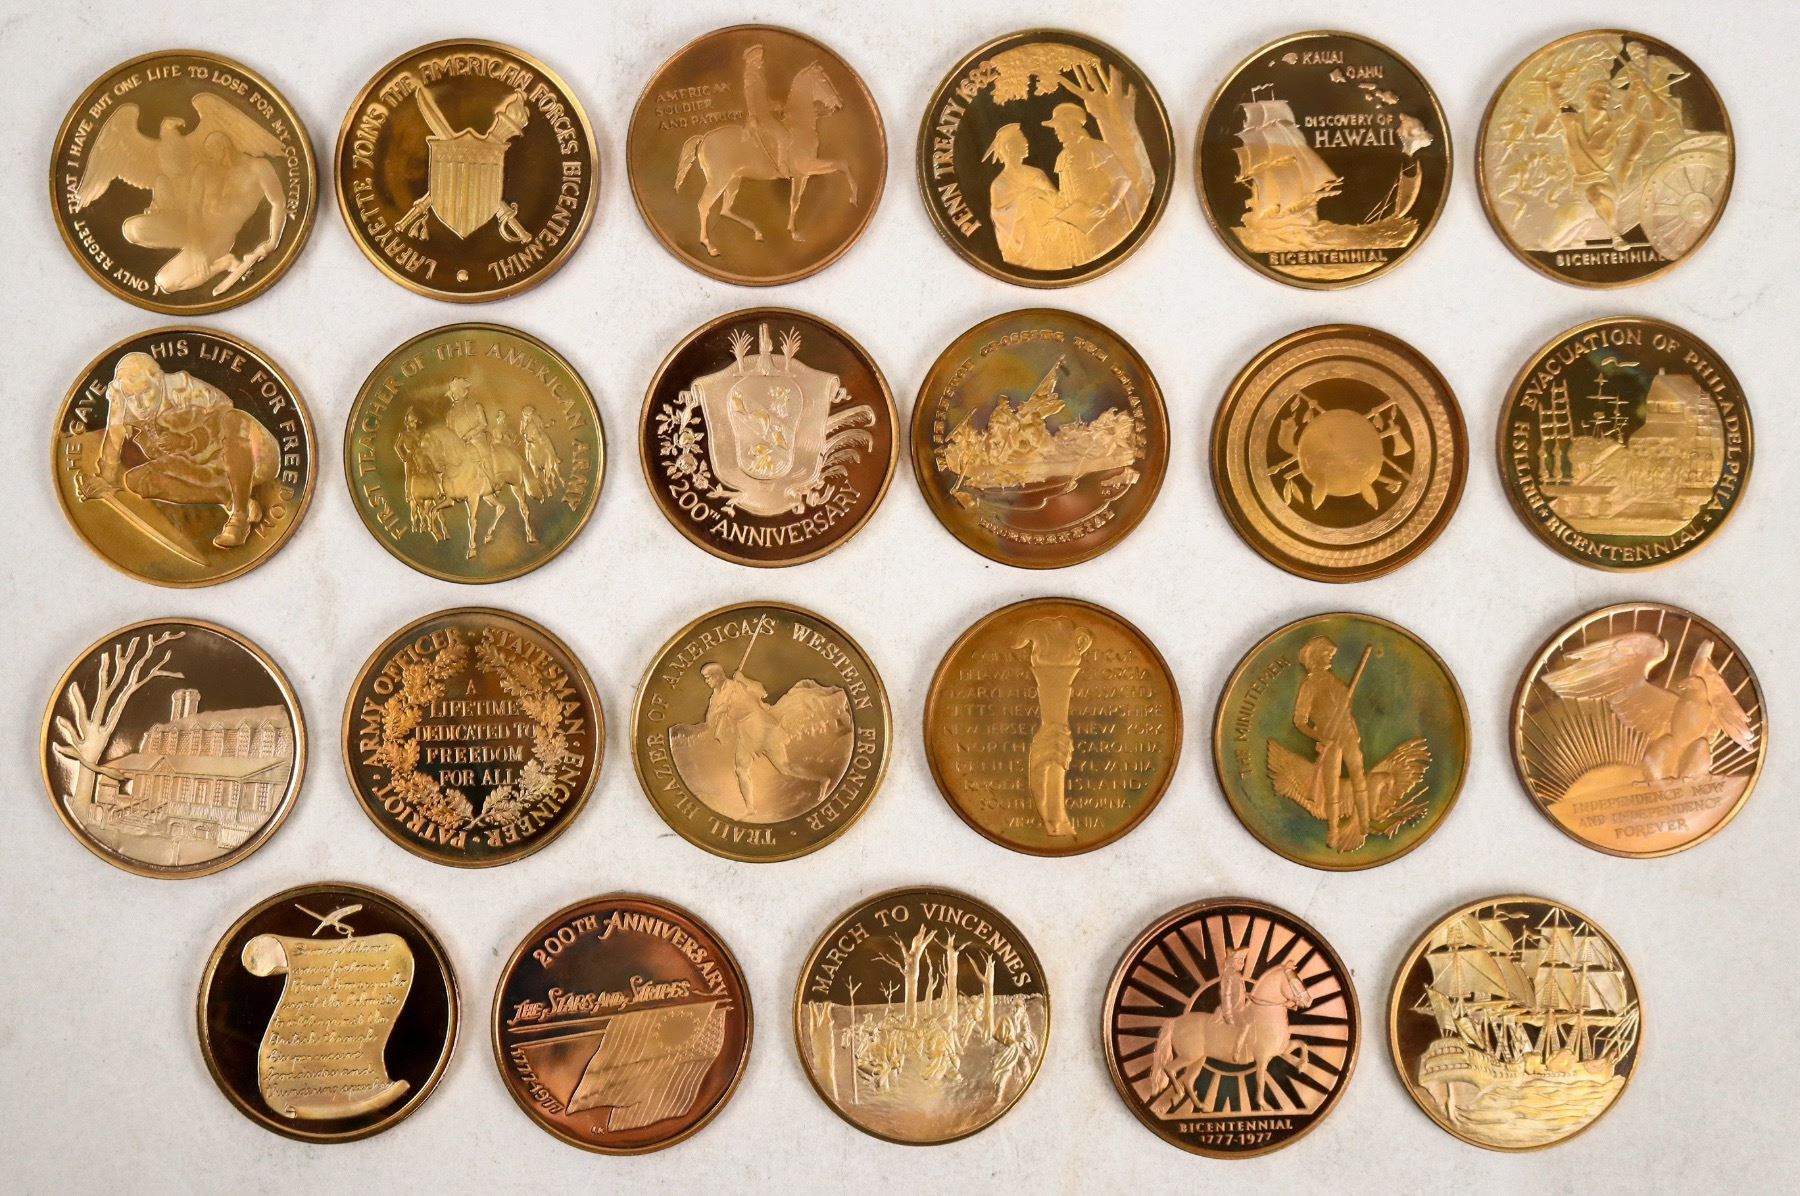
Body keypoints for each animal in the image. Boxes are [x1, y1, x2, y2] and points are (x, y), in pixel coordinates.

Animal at [412, 425, 541, 559]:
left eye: (426, 446)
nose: (415, 459)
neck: (457, 467)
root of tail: (515, 455)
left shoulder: (473, 498)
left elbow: (472, 520)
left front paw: (472, 549)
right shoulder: (450, 500)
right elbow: (433, 510)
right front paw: (437, 534)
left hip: (517, 486)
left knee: (524, 508)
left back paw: (530, 536)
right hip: (488, 496)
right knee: (501, 507)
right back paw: (488, 536)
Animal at [673, 61, 857, 257]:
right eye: (823, 80)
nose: (838, 104)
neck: (799, 127)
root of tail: (704, 137)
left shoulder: (805, 174)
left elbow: (799, 199)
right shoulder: (807, 169)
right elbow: (839, 166)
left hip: (734, 180)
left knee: (725, 209)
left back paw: (757, 232)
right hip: (719, 181)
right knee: (704, 205)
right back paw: (710, 246)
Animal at [1147, 964, 1314, 1115]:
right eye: (1295, 981)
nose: (1309, 1001)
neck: (1265, 1014)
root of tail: (1175, 1021)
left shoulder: (1281, 1049)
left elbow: (1302, 1044)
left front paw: (1301, 1066)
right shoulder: (1262, 1058)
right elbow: (1260, 1080)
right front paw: (1264, 1105)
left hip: (1198, 1059)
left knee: (1188, 1080)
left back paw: (1202, 1107)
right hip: (1188, 1057)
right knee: (1169, 1069)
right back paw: (1179, 1094)